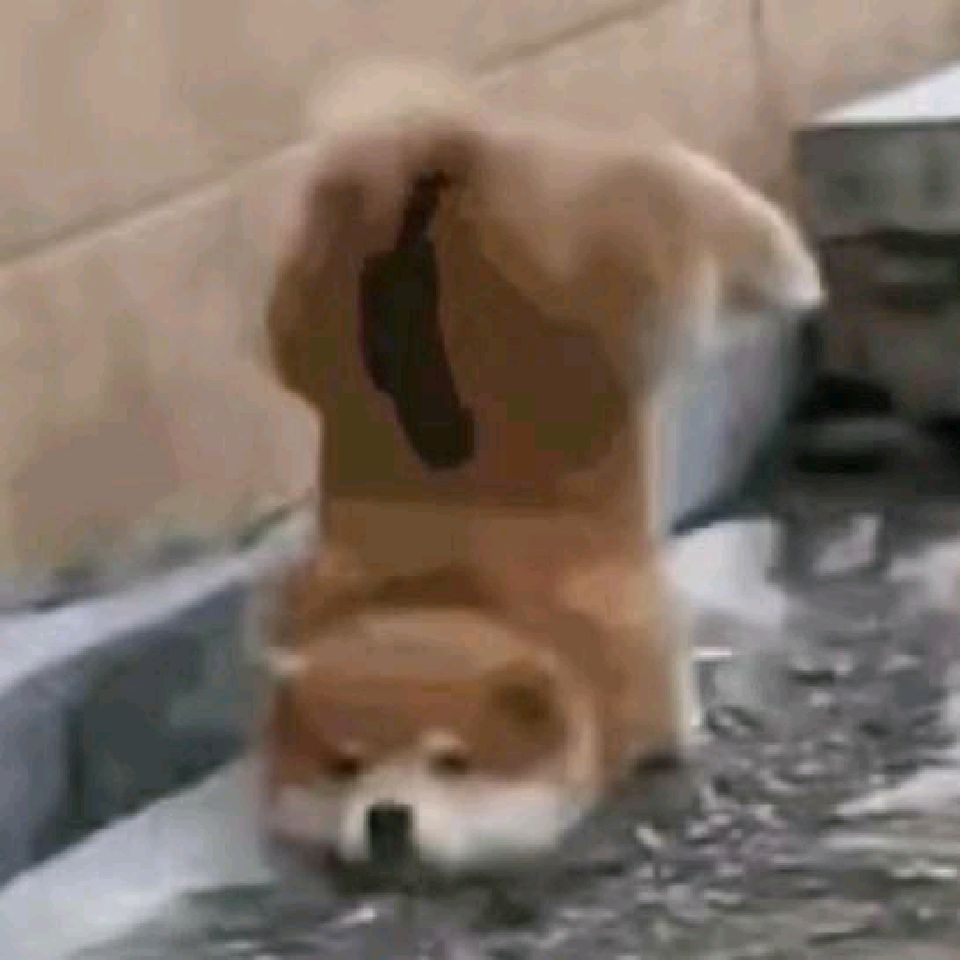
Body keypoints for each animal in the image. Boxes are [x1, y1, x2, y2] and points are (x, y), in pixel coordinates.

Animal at [259, 58, 823, 874]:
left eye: (451, 763)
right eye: (346, 766)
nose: (387, 817)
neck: (448, 589)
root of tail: (441, 169)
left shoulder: (640, 635)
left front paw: (679, 737)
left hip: (623, 279)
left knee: (673, 189)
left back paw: (785, 260)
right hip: (300, 317)